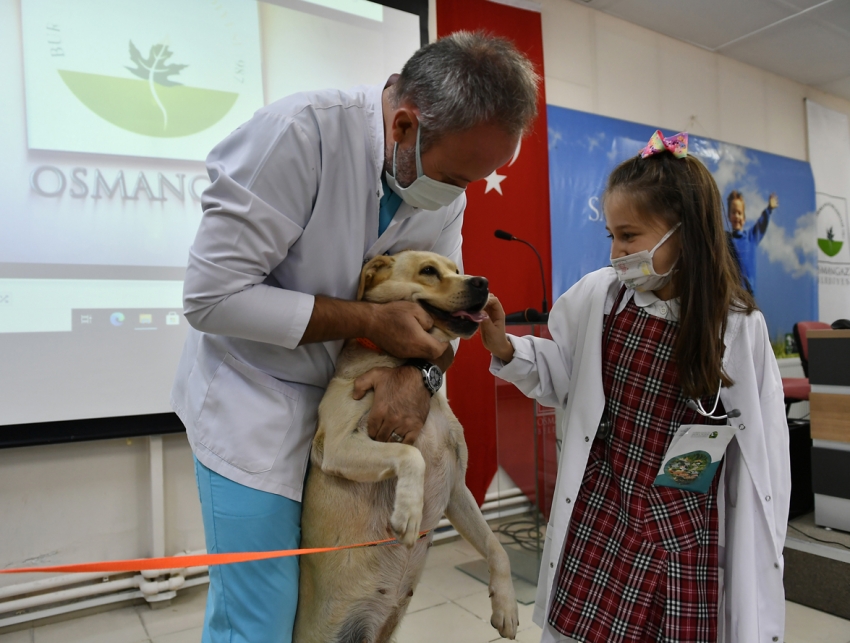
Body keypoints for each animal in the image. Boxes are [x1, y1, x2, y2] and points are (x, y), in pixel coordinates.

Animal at [294, 252, 520, 643]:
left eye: (456, 269)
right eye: (429, 271)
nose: (483, 282)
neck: (395, 361)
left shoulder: (457, 490)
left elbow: (496, 546)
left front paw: (506, 606)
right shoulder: (339, 445)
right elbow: (410, 454)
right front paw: (408, 511)